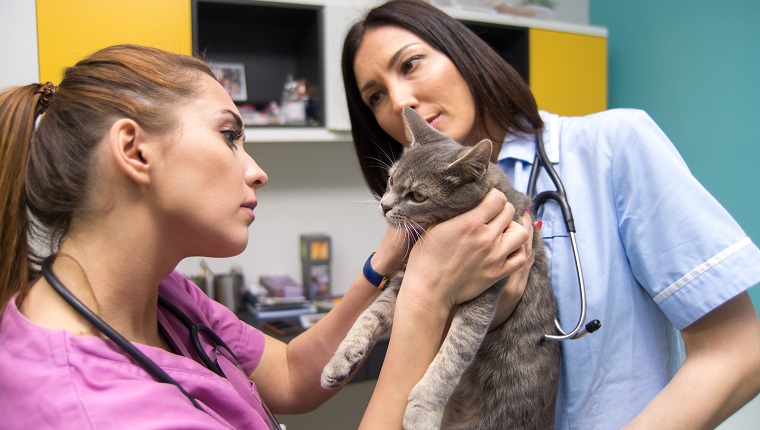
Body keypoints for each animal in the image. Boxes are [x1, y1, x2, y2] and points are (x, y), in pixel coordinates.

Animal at [320, 106, 560, 428]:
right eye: (391, 180)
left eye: (418, 196)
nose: (384, 205)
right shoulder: (404, 281)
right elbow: (367, 315)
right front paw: (339, 360)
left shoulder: (484, 296)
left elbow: (454, 353)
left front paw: (423, 408)